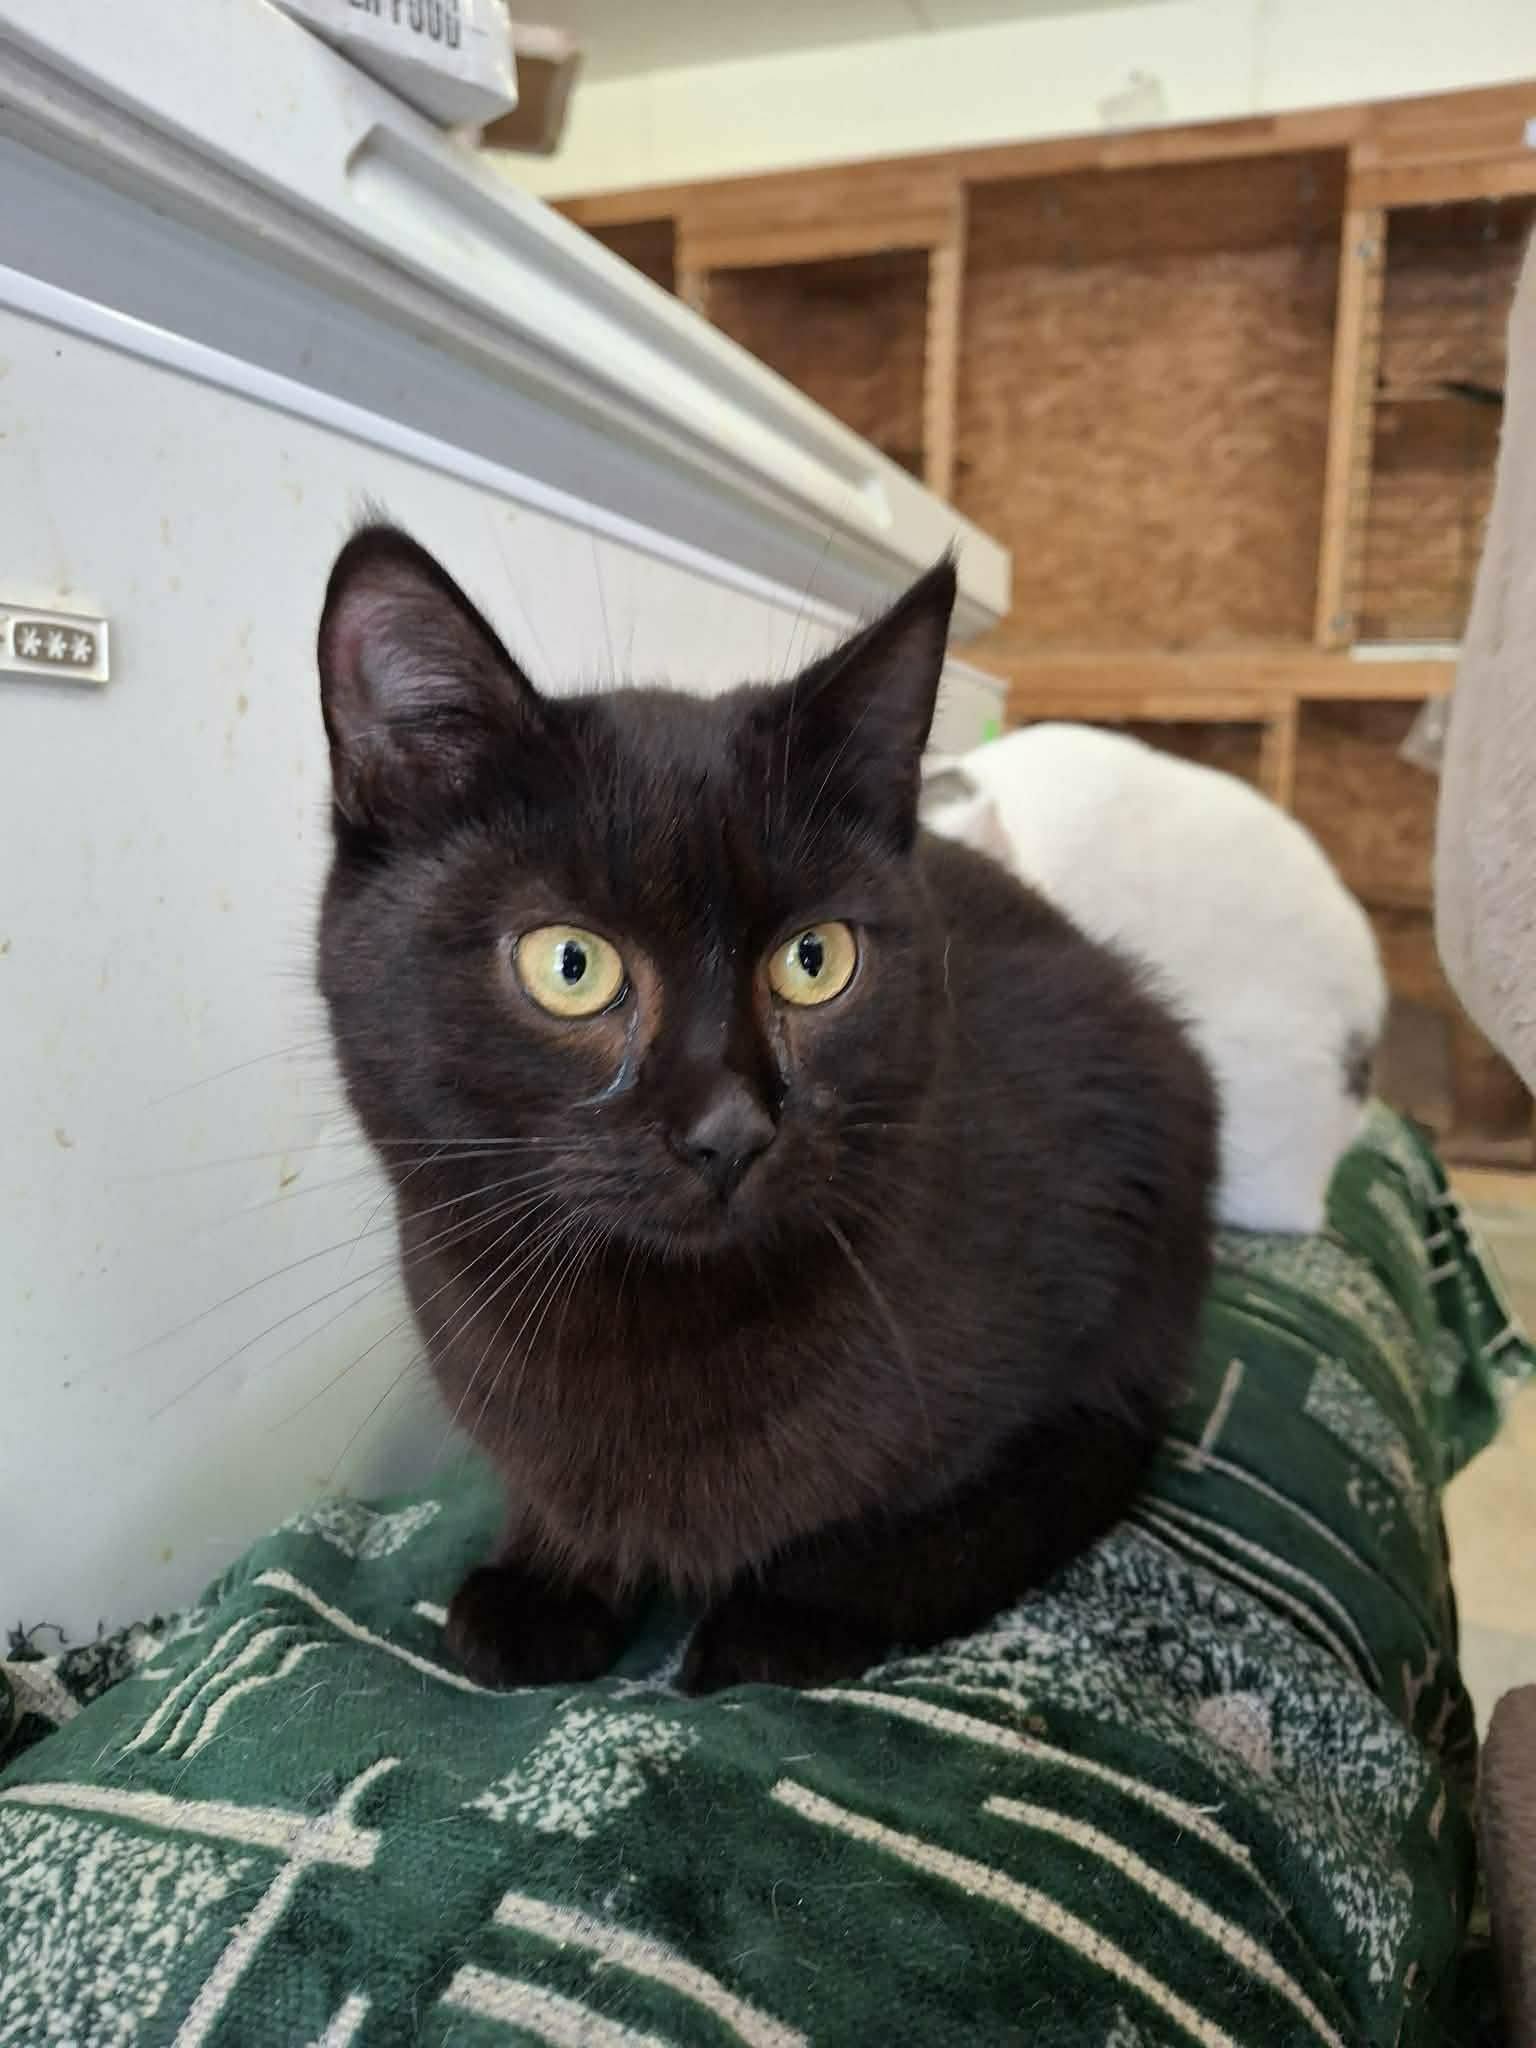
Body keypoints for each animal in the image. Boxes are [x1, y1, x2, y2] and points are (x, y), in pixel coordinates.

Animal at [315, 526, 1217, 1693]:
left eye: (815, 959)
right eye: (570, 964)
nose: (731, 1127)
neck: (647, 1331)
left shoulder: (1116, 1187)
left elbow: (966, 1501)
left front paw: (787, 1612)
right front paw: (549, 1581)